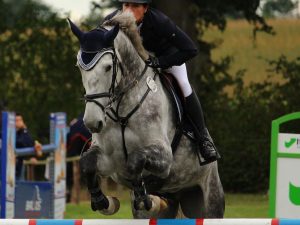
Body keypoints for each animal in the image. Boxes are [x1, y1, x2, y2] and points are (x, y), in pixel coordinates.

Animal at [67, 11, 223, 218]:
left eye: (108, 67)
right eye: (78, 66)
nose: (92, 122)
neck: (122, 115)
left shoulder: (164, 157)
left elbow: (135, 161)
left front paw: (141, 193)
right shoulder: (108, 160)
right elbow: (87, 163)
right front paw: (102, 201)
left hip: (210, 197)